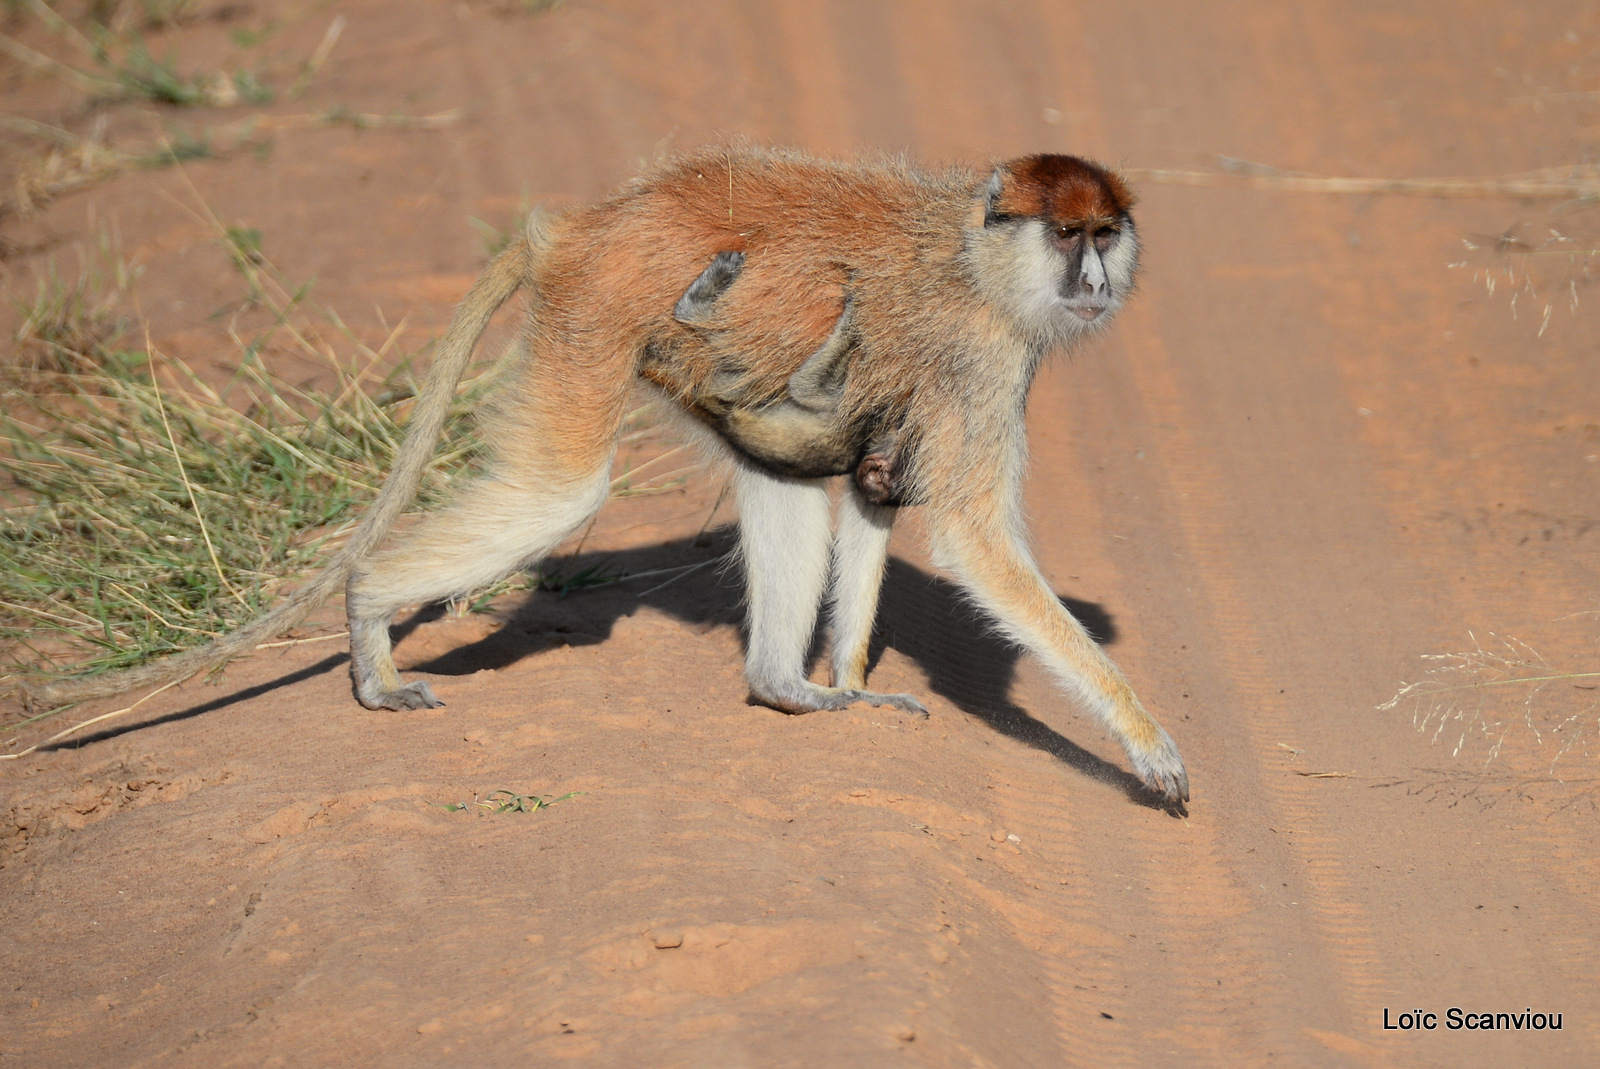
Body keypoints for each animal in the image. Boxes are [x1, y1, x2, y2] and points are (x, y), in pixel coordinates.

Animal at [28, 148, 1190, 800]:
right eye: (1069, 234)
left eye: (1107, 231)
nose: (1095, 274)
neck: (973, 253)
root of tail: (587, 229)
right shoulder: (981, 356)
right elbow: (974, 541)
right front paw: (1145, 744)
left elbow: (873, 488)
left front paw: (851, 684)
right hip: (596, 317)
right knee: (560, 492)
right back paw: (367, 618)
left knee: (785, 475)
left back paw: (786, 687)